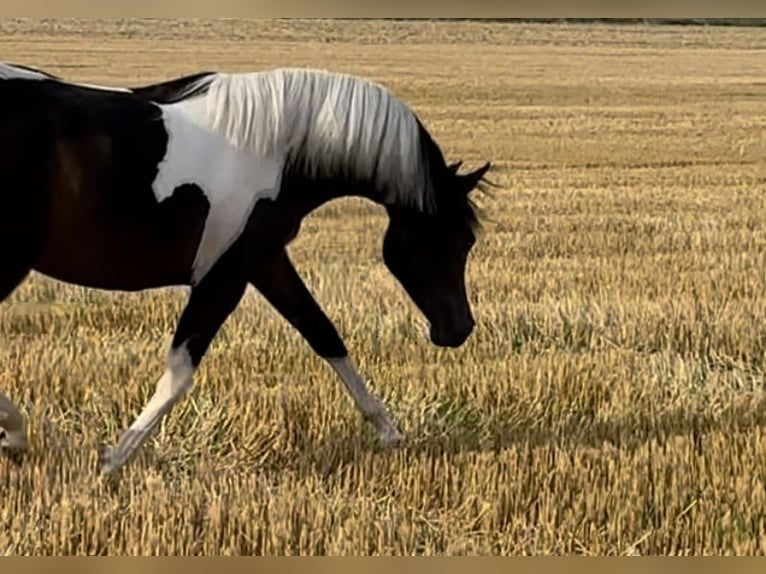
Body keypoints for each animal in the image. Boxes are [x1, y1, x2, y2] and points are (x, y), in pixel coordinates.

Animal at [0, 62, 492, 476]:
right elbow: (180, 371)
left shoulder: (265, 261)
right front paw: (114, 459)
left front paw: (388, 430)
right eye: (460, 240)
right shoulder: (225, 276)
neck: (280, 151)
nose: (459, 329)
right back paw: (17, 433)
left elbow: (323, 332)